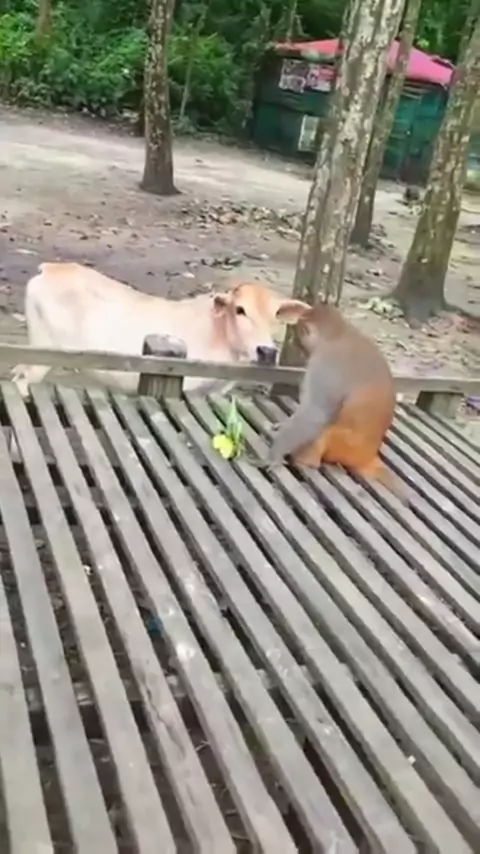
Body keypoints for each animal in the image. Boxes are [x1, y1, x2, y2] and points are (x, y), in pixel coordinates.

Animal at [268, 302, 405, 498]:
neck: (338, 334)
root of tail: (368, 455)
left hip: (345, 446)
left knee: (327, 428)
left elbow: (315, 413)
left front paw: (276, 452)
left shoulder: (325, 365)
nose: (298, 342)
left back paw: (308, 460)